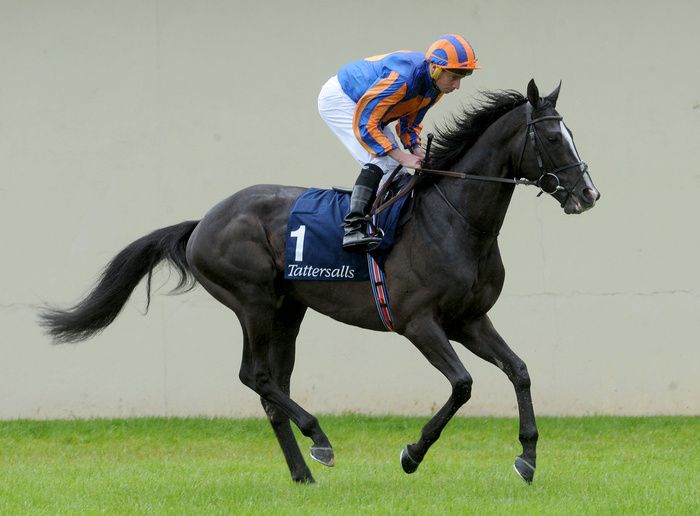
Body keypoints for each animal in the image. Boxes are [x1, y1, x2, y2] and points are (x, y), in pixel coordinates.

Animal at [38, 79, 600, 484]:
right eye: (554, 137)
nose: (588, 194)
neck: (454, 220)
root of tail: (201, 223)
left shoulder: (470, 319)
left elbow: (520, 371)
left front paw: (527, 459)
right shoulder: (418, 322)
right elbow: (462, 385)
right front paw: (412, 454)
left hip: (289, 309)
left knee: (273, 388)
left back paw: (303, 473)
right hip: (253, 301)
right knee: (256, 377)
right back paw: (320, 440)